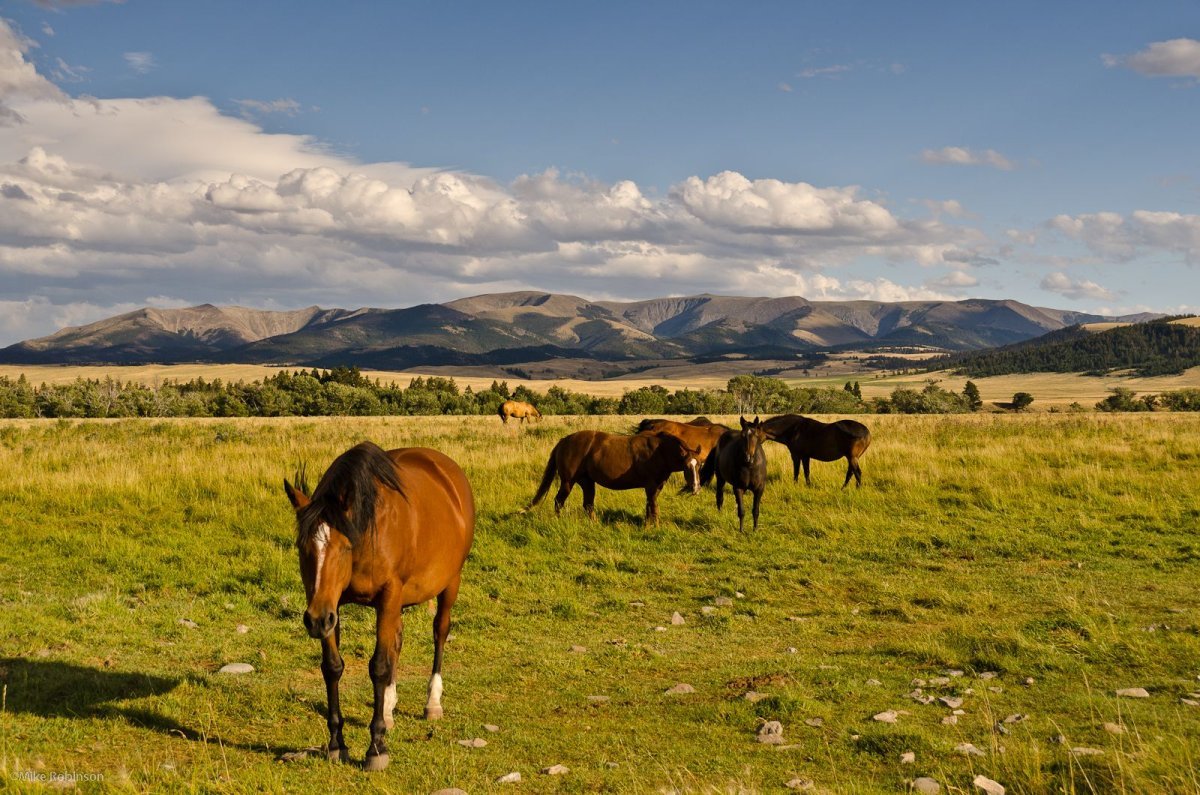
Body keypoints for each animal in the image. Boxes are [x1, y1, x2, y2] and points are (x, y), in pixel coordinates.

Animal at [283, 441, 475, 773]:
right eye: (302, 547)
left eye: (344, 546)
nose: (315, 621)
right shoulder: (332, 605)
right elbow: (333, 667)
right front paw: (337, 744)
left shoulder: (387, 596)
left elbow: (380, 666)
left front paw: (376, 748)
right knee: (396, 641)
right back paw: (387, 708)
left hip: (451, 582)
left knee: (439, 632)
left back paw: (432, 702)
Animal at [525, 432, 700, 525]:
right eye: (686, 467)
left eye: (699, 465)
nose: (696, 488)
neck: (659, 451)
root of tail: (564, 441)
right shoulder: (651, 486)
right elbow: (653, 506)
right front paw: (652, 526)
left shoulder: (657, 486)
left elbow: (650, 506)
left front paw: (649, 523)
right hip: (568, 482)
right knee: (559, 501)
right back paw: (559, 520)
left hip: (587, 482)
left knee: (588, 505)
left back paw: (594, 523)